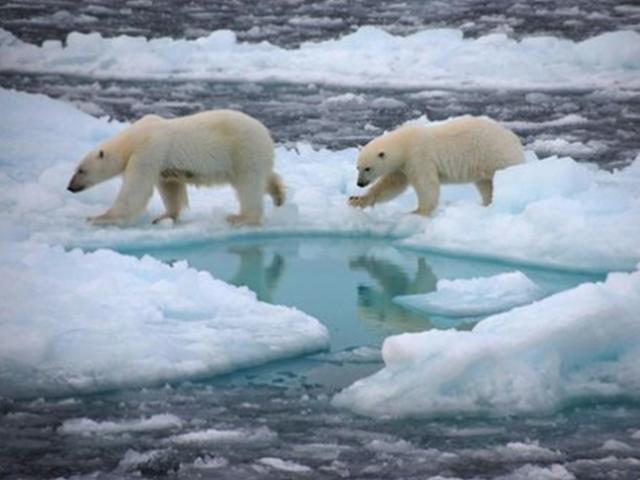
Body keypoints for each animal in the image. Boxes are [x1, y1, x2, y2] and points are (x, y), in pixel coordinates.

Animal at [66, 110, 284, 227]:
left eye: (81, 170)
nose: (70, 187)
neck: (134, 138)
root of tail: (266, 133)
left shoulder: (148, 151)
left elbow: (135, 190)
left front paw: (99, 218)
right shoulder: (161, 163)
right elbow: (169, 187)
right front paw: (164, 217)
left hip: (244, 150)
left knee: (249, 184)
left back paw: (241, 217)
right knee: (264, 177)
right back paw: (279, 195)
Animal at [350, 116, 524, 216]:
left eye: (368, 168)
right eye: (358, 167)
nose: (359, 183)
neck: (405, 144)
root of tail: (515, 141)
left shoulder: (419, 158)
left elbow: (427, 184)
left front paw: (418, 211)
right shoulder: (402, 167)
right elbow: (391, 185)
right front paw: (356, 200)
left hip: (496, 156)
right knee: (485, 185)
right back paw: (486, 204)